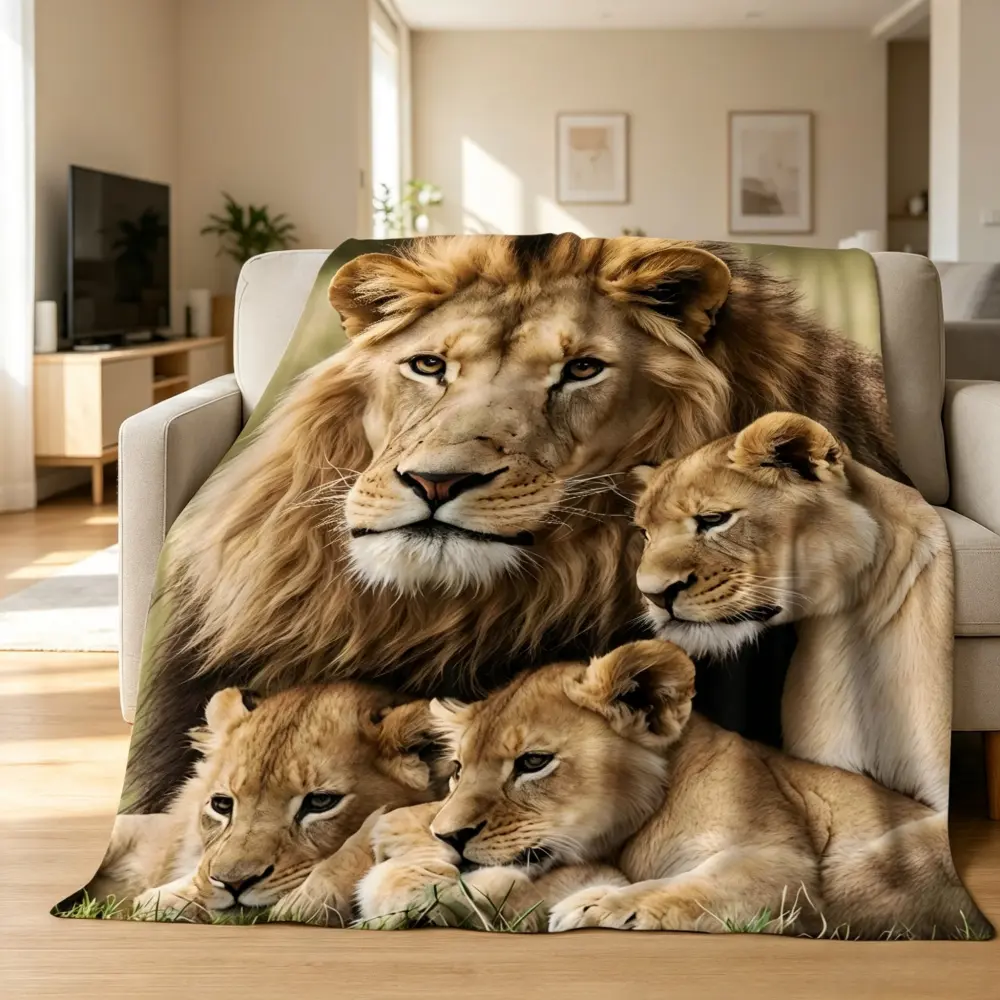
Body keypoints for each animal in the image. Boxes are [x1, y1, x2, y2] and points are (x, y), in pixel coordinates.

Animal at [355, 642, 989, 939]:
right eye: (459, 770)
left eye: (533, 762)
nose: (451, 836)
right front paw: (408, 847)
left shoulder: (781, 864)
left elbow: (688, 888)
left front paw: (596, 906)